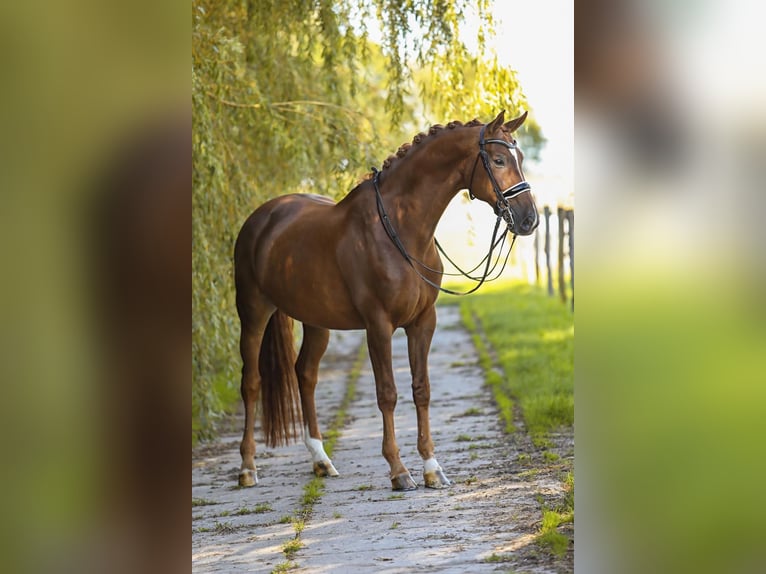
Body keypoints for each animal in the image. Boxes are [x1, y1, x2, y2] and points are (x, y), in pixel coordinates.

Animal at [236, 109, 540, 490]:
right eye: (498, 160)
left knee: (305, 375)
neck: (399, 228)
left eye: (521, 158)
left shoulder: (423, 322)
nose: (529, 219)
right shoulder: (378, 326)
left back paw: (321, 460)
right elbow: (388, 393)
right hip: (253, 313)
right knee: (251, 383)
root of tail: (262, 218)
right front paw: (399, 471)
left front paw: (432, 468)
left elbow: (421, 389)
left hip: (316, 322)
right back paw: (248, 468)